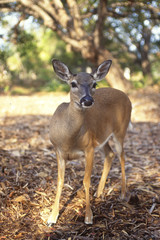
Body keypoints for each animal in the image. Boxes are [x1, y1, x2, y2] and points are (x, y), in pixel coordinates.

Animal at [47, 59, 132, 226]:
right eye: (73, 83)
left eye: (94, 84)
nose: (87, 100)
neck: (69, 139)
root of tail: (126, 96)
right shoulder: (58, 151)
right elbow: (60, 181)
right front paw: (52, 217)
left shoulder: (89, 148)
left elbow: (86, 181)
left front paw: (88, 216)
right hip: (102, 137)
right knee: (110, 154)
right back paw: (99, 193)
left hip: (120, 130)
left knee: (122, 156)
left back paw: (123, 194)